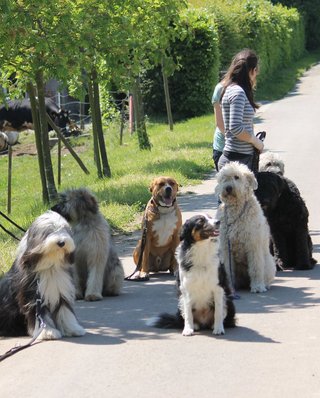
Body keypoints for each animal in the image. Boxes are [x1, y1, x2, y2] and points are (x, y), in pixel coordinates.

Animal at [215, 161, 276, 292]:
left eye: (237, 177)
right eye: (224, 178)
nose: (228, 188)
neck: (236, 209)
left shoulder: (253, 244)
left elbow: (256, 267)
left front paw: (257, 286)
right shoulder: (226, 247)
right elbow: (228, 270)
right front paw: (230, 287)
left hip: (269, 263)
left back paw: (264, 284)